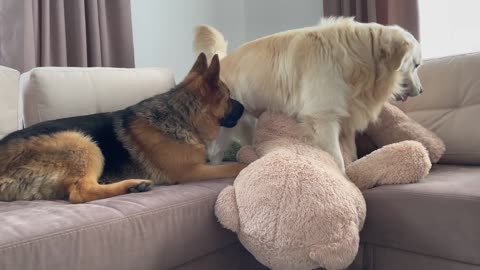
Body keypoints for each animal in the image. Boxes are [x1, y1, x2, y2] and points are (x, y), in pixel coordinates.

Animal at [0, 53, 246, 202]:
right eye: (228, 97)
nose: (244, 107)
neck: (182, 116)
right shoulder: (191, 171)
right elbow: (233, 166)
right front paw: (247, 162)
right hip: (81, 142)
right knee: (80, 192)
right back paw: (131, 186)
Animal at [193, 16, 422, 171]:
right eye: (416, 65)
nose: (421, 90)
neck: (357, 56)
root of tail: (222, 60)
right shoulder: (323, 119)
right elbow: (337, 160)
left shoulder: (346, 121)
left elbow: (352, 154)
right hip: (223, 130)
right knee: (214, 154)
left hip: (247, 122)